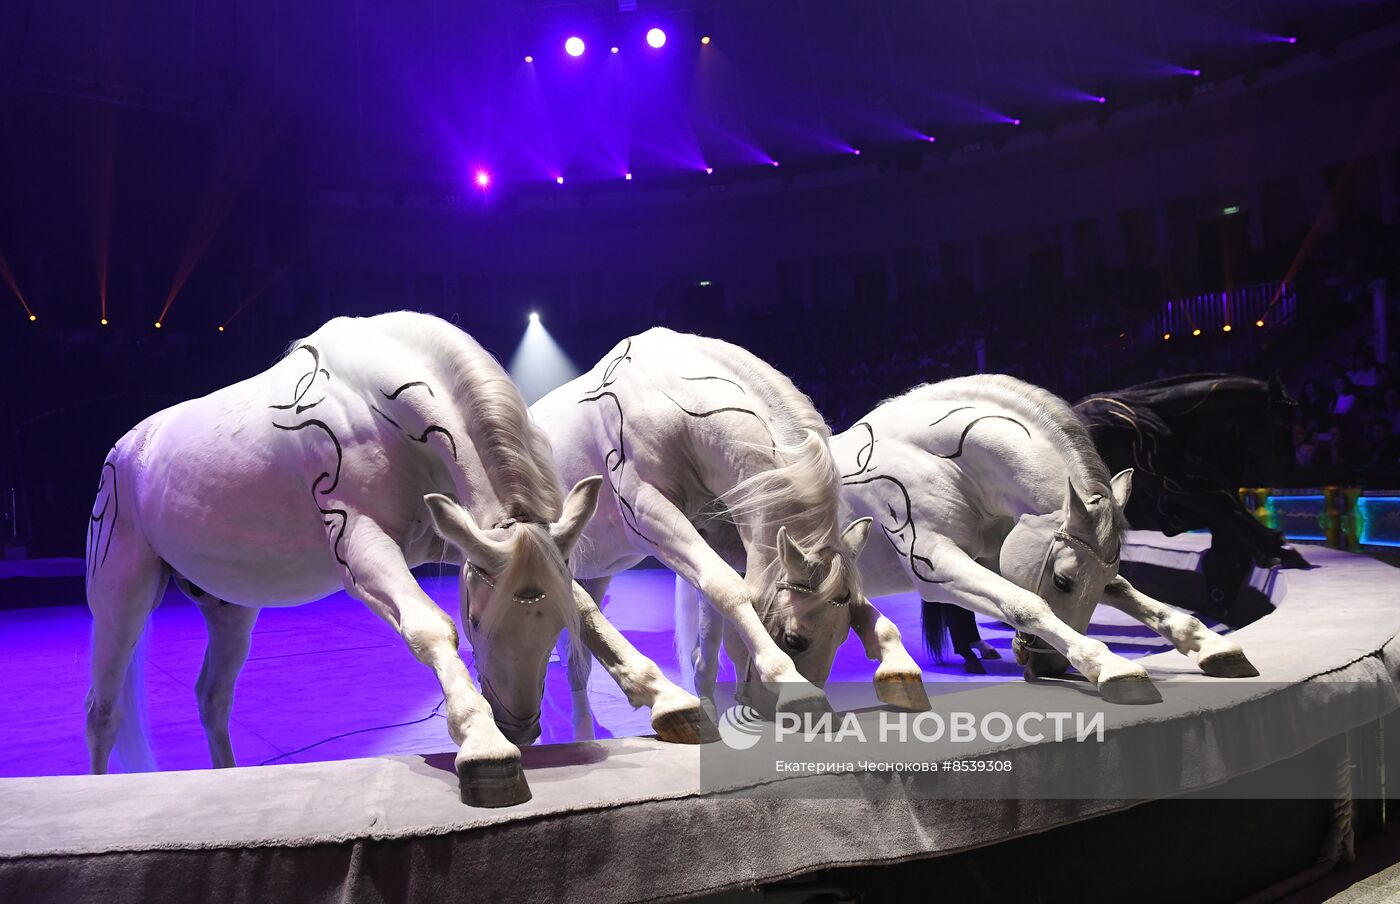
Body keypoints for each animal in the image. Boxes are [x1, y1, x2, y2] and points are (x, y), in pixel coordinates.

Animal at [84, 312, 711, 806]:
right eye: (475, 620)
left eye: (553, 625)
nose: (520, 726)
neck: (378, 405)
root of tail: (126, 449)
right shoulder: (358, 545)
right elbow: (428, 628)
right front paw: (482, 744)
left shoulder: (463, 538)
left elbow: (590, 612)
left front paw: (670, 702)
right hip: (121, 591)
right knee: (102, 709)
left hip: (230, 608)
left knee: (212, 698)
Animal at [534, 328, 929, 733]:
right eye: (794, 639)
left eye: (842, 637)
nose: (770, 710)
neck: (672, 399)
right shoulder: (648, 512)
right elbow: (728, 588)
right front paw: (794, 685)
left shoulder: (724, 539)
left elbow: (713, 625)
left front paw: (898, 667)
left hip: (596, 574)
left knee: (577, 662)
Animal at [823, 375, 1265, 708]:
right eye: (1062, 580)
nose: (1050, 667)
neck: (943, 463)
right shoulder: (934, 563)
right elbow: (1025, 604)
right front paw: (1108, 665)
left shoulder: (992, 556)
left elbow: (1131, 594)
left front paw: (1208, 644)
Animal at [924, 372, 1304, 677]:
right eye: (1283, 420)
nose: (1287, 472)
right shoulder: (1190, 492)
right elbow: (1236, 520)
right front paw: (1276, 552)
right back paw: (972, 651)